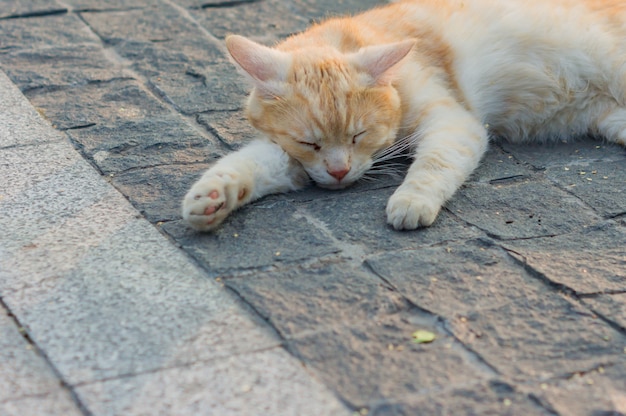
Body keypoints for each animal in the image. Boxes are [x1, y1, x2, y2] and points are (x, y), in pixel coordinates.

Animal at [180, 0, 624, 231]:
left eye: (359, 135)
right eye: (310, 143)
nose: (340, 173)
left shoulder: (453, 123)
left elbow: (434, 164)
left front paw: (412, 199)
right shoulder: (291, 158)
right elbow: (247, 164)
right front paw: (212, 196)